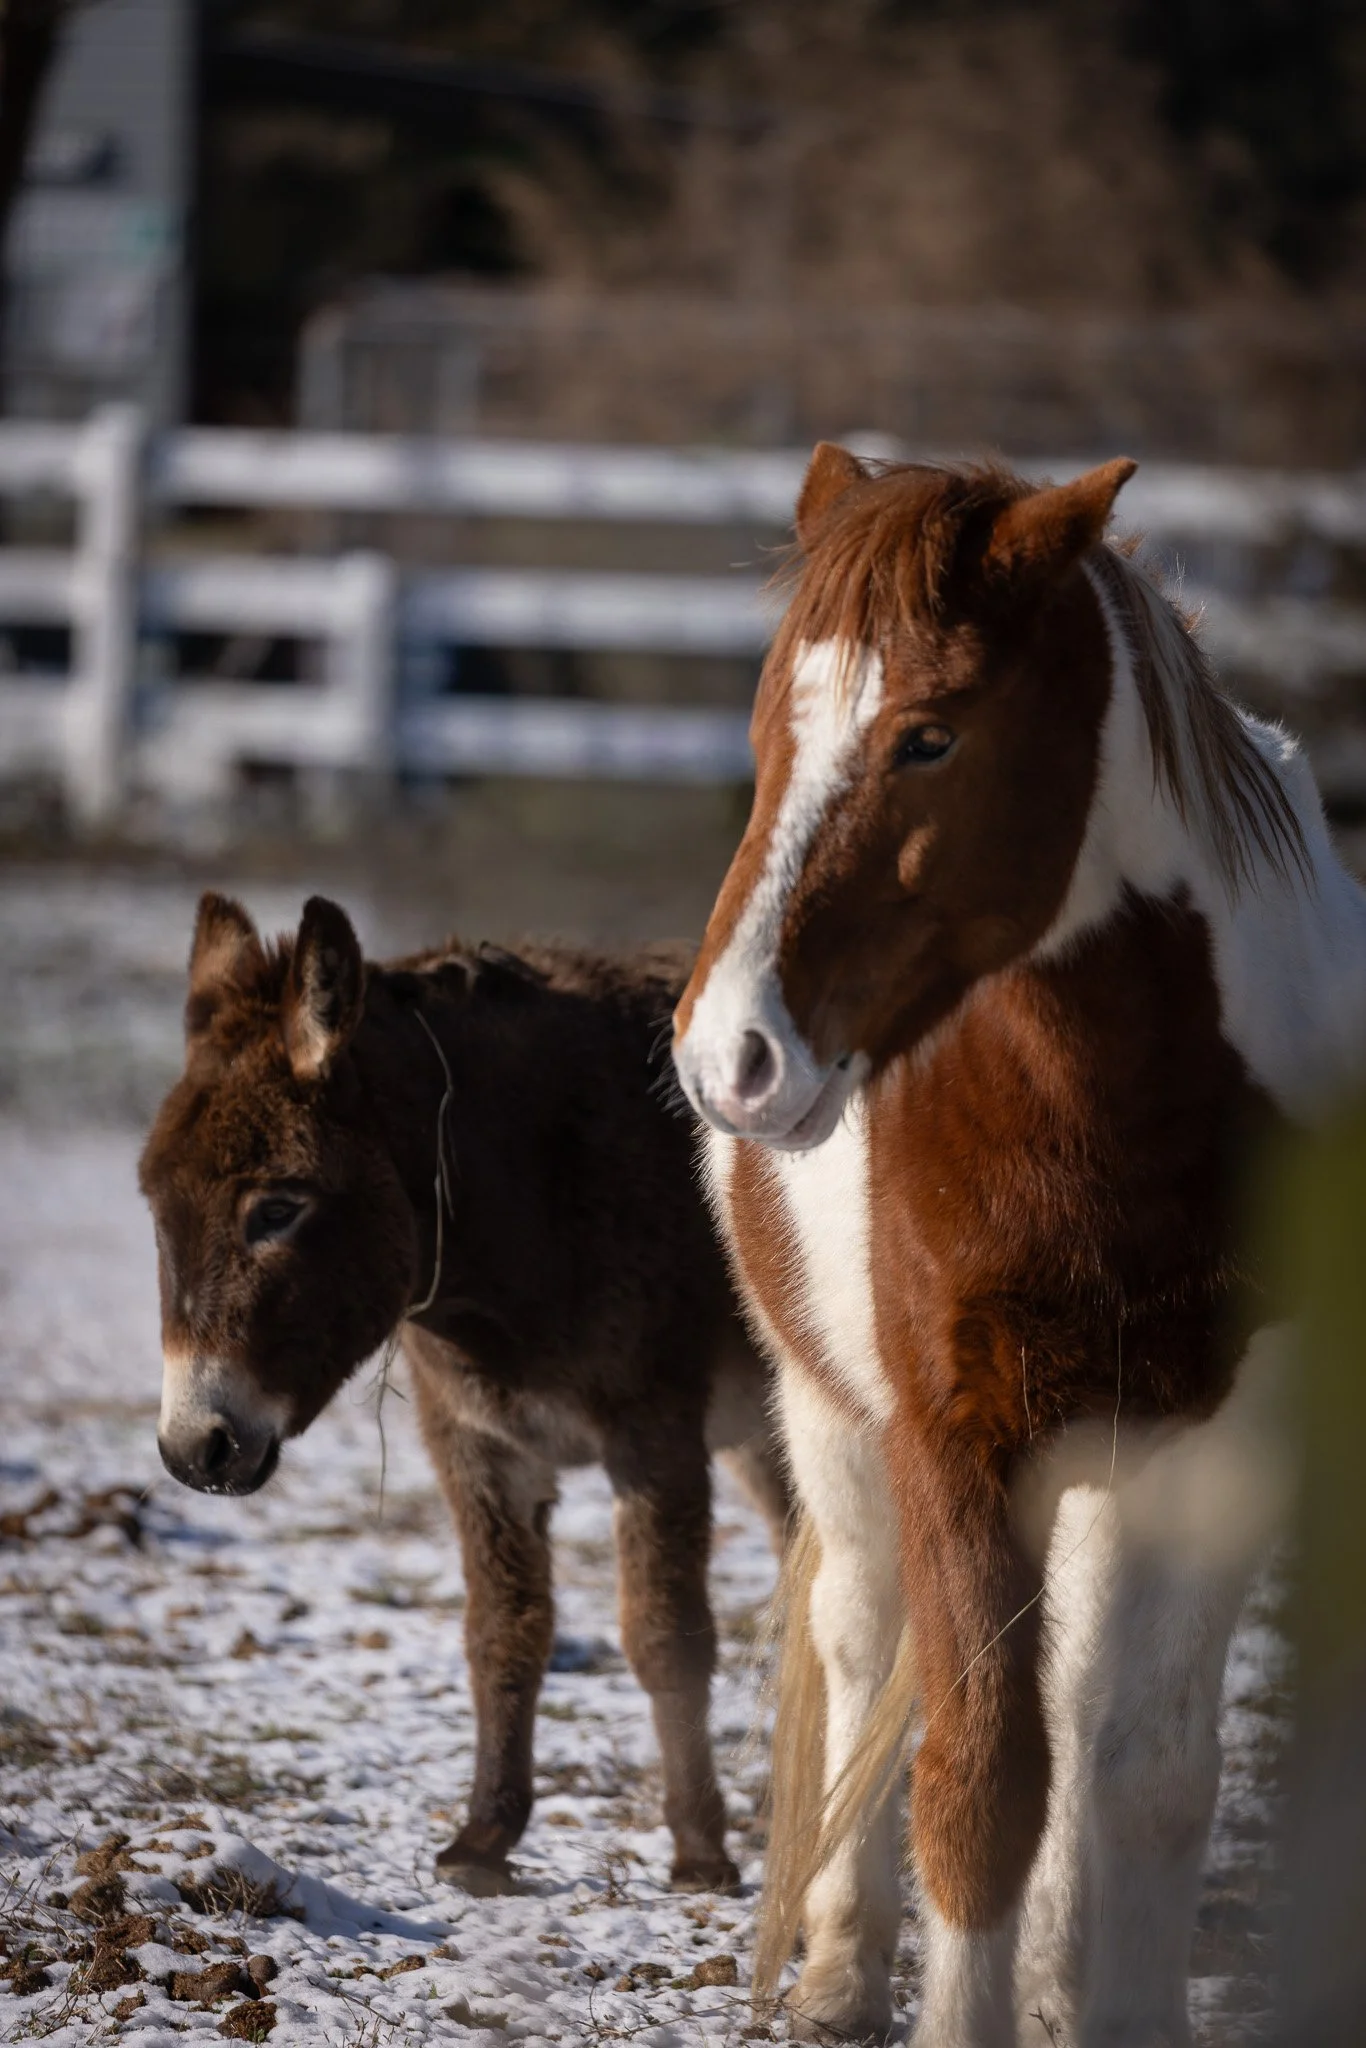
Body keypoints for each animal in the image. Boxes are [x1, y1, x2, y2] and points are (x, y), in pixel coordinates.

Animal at [140, 891, 790, 1897]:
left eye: (278, 1208)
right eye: (154, 1208)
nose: (192, 1451)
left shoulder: (656, 1434)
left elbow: (665, 1637)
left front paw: (699, 1853)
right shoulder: (479, 1443)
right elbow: (502, 1630)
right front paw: (485, 1839)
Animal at [672, 443, 1366, 2044]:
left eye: (927, 738)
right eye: (768, 726)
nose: (730, 1056)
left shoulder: (1224, 1455)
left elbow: (1146, 1780)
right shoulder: (953, 1442)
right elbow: (977, 1781)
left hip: (1103, 1469)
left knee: (1081, 1713)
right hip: (837, 1434)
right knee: (867, 1648)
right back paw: (842, 1970)